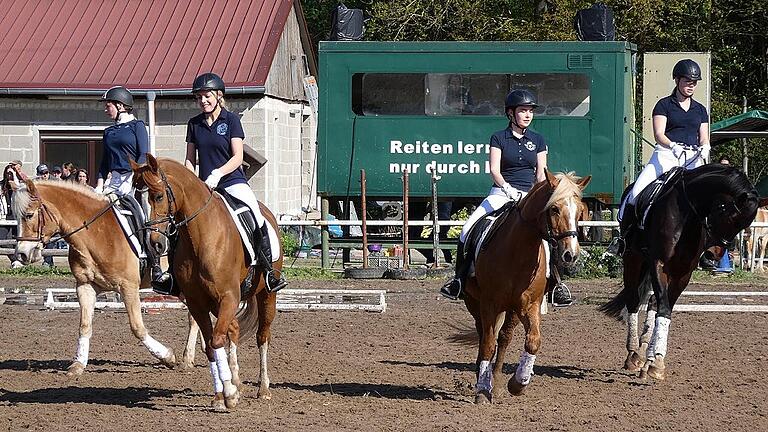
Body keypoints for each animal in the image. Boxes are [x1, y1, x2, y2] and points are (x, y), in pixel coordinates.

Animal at [11, 179, 192, 374]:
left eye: (29, 215)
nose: (21, 254)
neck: (97, 234)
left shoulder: (128, 287)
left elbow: (137, 327)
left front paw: (167, 356)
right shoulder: (85, 286)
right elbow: (84, 326)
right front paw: (78, 364)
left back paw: (188, 359)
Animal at [132, 154, 282, 410]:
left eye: (159, 196)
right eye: (135, 197)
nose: (154, 244)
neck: (200, 236)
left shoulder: (229, 297)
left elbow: (217, 340)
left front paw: (229, 393)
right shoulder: (197, 302)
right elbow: (212, 346)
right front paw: (222, 395)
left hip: (266, 294)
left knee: (263, 335)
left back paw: (263, 389)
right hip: (216, 303)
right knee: (234, 328)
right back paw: (236, 379)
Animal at [460, 170, 592, 404]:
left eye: (579, 212)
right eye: (554, 209)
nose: (571, 254)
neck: (518, 252)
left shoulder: (529, 305)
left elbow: (533, 341)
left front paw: (518, 383)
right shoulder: (488, 303)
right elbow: (488, 344)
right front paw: (482, 391)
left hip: (511, 309)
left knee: (504, 338)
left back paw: (496, 383)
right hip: (474, 302)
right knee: (485, 335)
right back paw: (482, 379)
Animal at [604, 165, 764, 382]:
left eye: (744, 225)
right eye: (724, 211)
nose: (713, 254)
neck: (688, 215)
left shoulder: (683, 273)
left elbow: (665, 309)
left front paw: (655, 361)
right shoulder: (658, 263)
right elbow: (663, 307)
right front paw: (655, 362)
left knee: (652, 302)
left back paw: (644, 352)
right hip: (633, 258)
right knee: (633, 301)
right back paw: (633, 354)